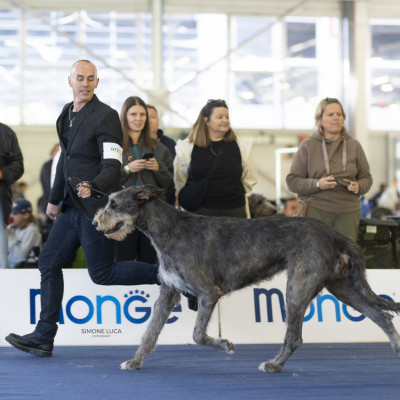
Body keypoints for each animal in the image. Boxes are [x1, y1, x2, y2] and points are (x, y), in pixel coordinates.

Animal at [94, 184, 400, 372]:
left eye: (114, 203)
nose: (96, 222)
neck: (170, 229)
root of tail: (335, 234)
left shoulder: (208, 293)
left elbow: (197, 335)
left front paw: (224, 344)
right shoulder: (168, 292)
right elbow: (150, 331)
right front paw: (134, 362)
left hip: (298, 288)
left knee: (295, 337)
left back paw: (275, 365)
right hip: (342, 285)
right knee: (382, 316)